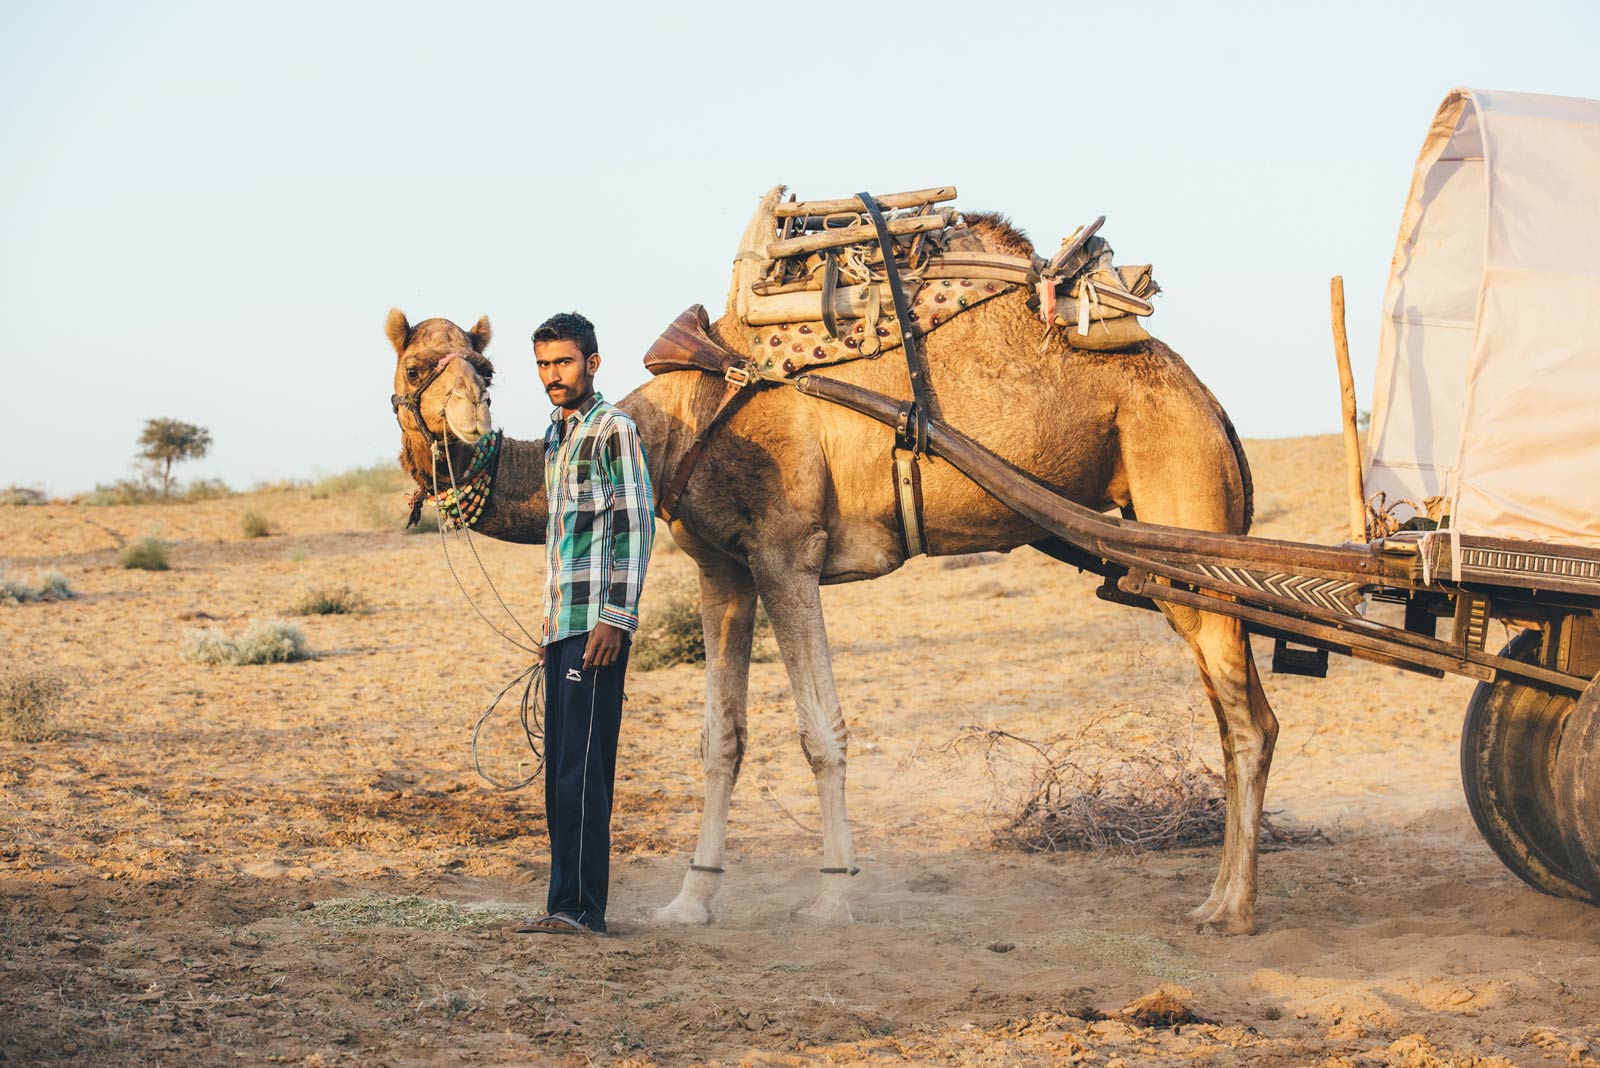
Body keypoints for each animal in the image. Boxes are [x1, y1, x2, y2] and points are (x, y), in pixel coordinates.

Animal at [384, 211, 1273, 933]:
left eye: (483, 370)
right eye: (416, 372)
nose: (470, 419)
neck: (675, 424)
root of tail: (1213, 406)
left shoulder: (787, 551)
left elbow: (821, 732)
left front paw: (834, 895)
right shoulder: (724, 569)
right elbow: (722, 737)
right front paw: (691, 899)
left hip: (1183, 494)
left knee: (1247, 717)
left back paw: (1229, 909)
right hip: (1162, 554)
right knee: (1232, 704)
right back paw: (1221, 895)